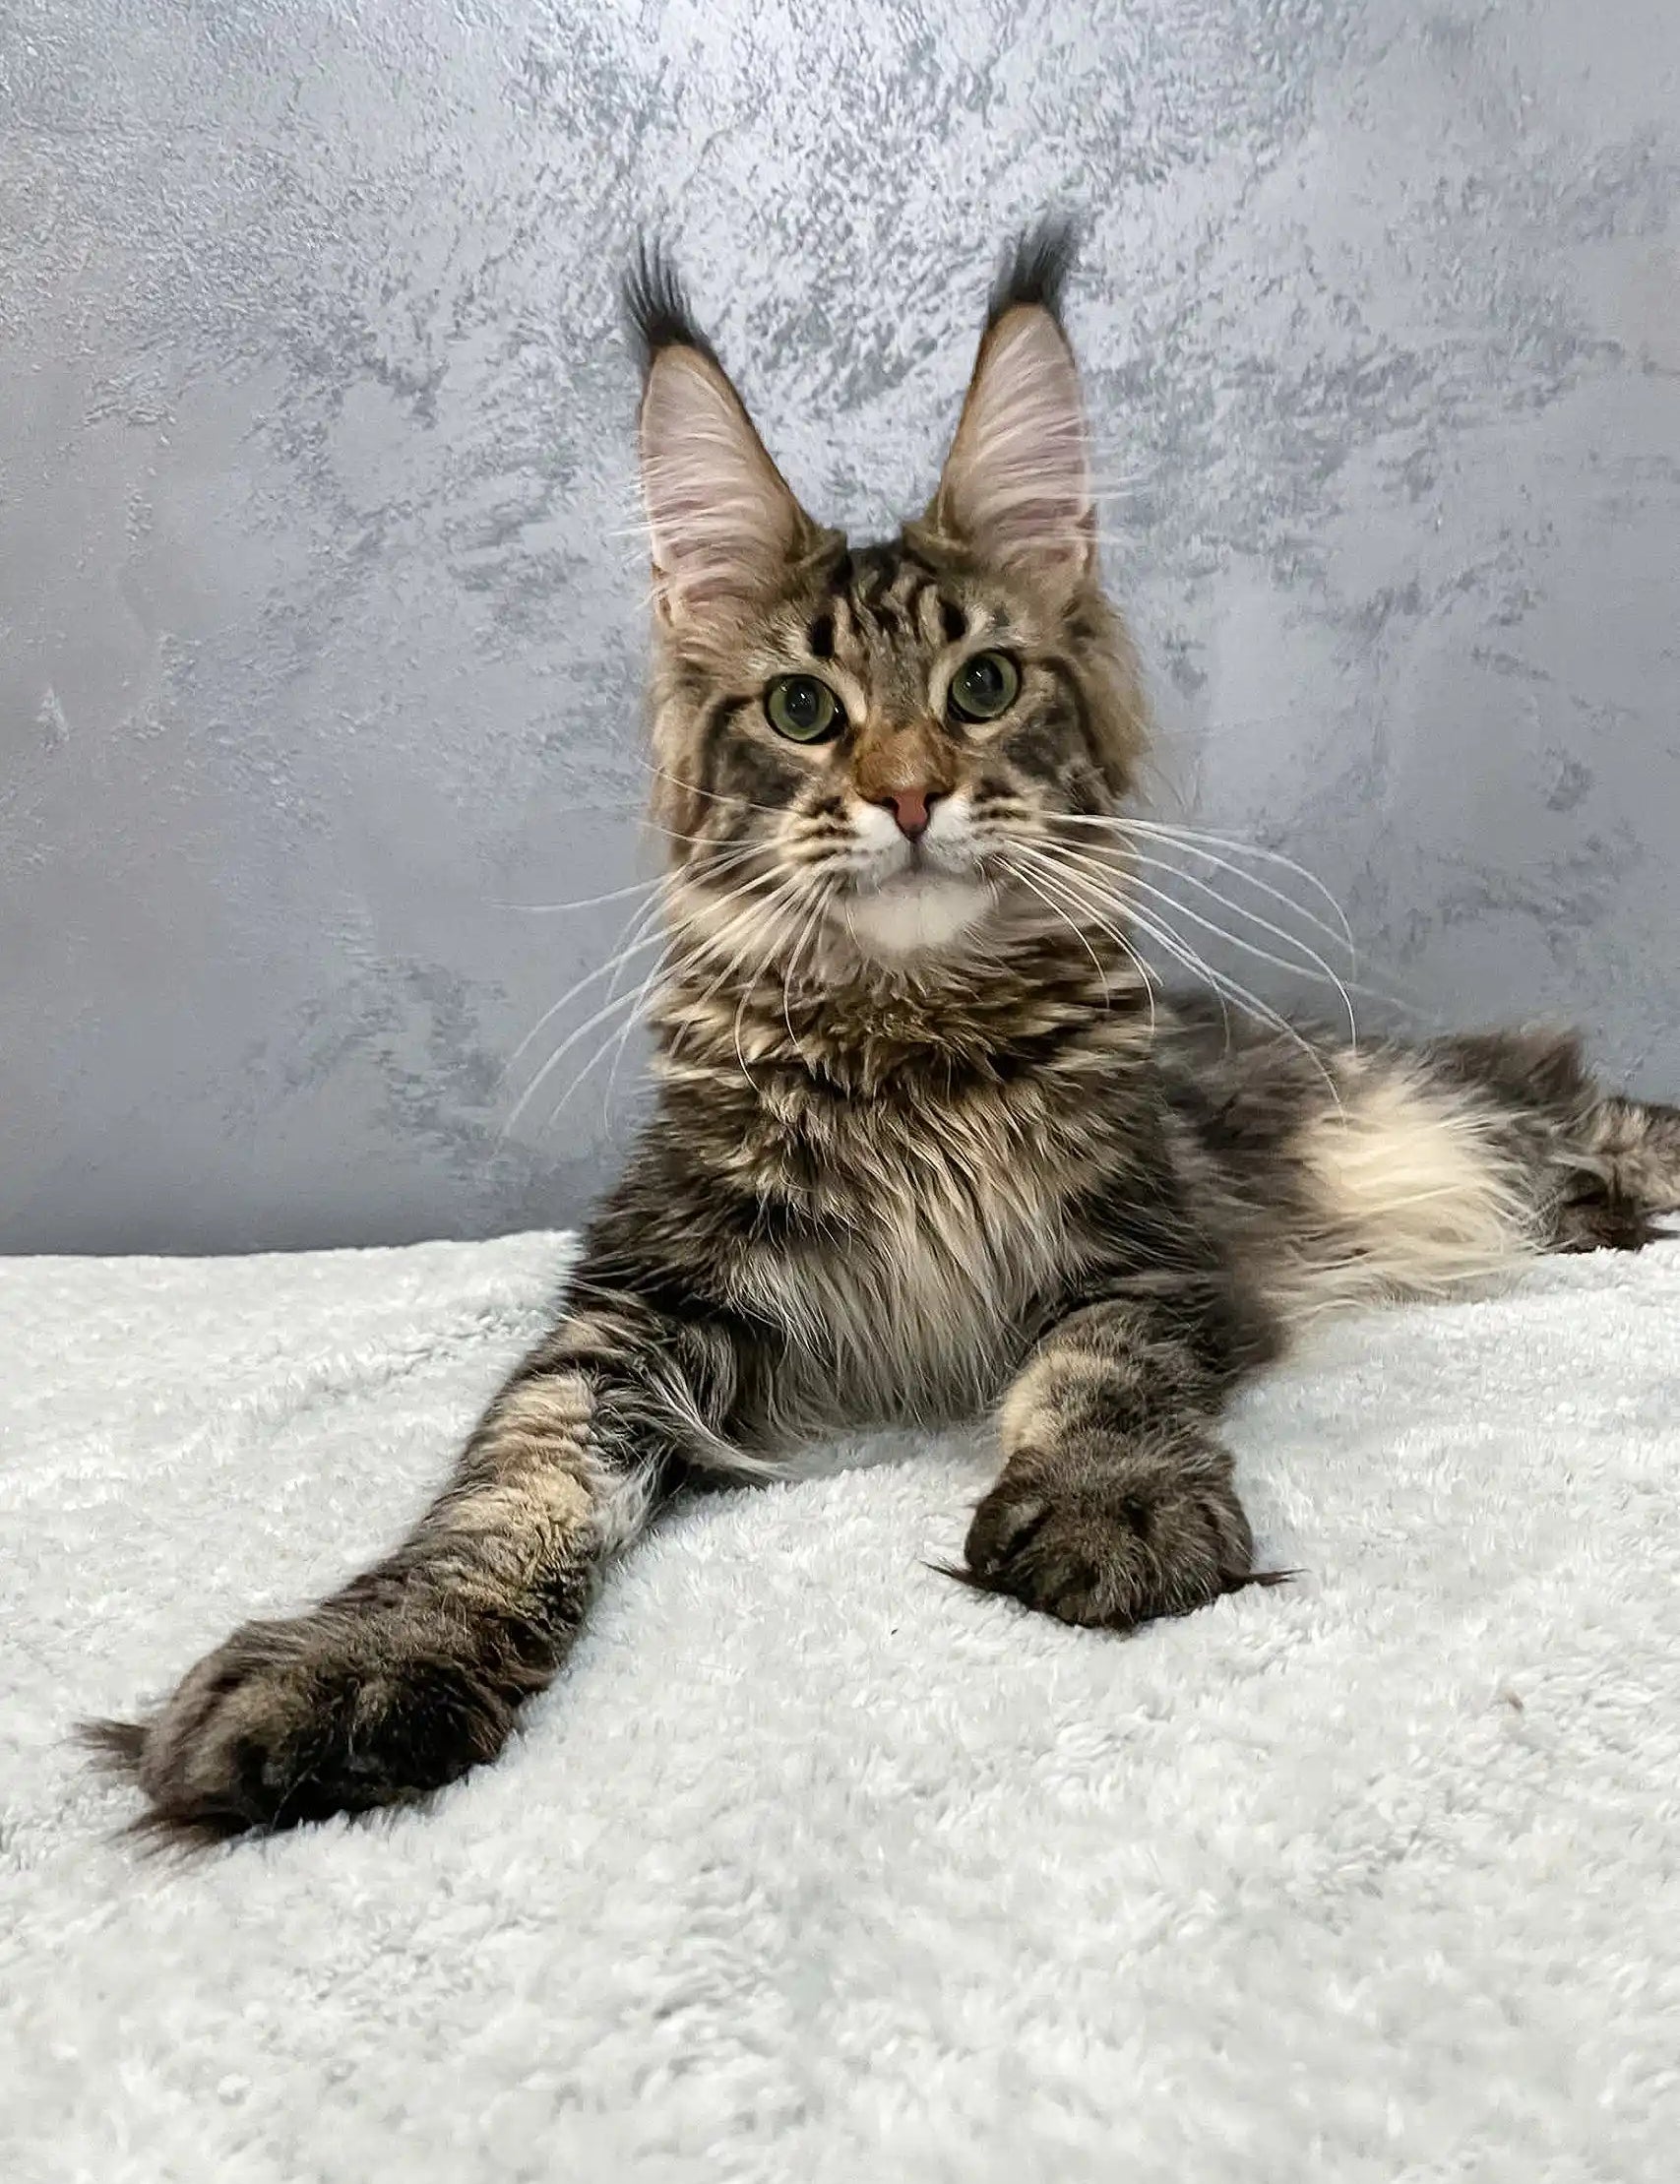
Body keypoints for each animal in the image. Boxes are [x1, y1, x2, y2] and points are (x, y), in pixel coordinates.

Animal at [94, 225, 1680, 1842]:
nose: (909, 793)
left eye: (982, 685)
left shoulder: (1148, 1253)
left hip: (1434, 1111)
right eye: (803, 708)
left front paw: (1110, 1506)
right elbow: (515, 1477)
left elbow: (1095, 1369)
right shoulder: (632, 1303)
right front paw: (362, 1659)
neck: (912, 1043)